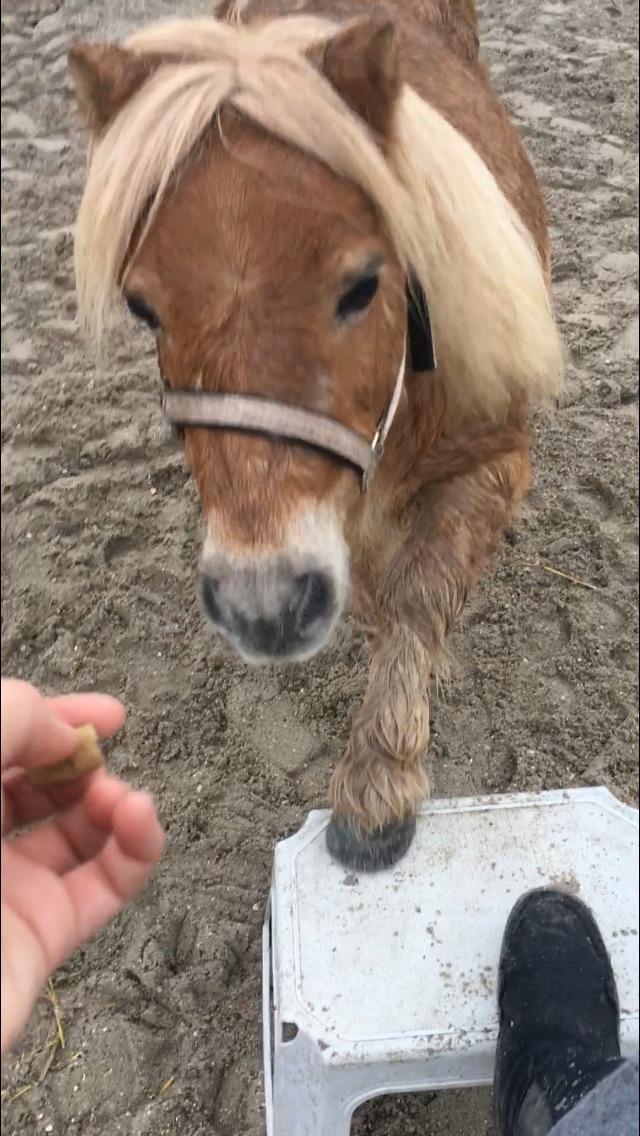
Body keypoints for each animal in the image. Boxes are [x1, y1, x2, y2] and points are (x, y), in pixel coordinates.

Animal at [67, 0, 563, 867]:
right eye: (142, 307)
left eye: (364, 285)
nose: (262, 608)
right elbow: (375, 592)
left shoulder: (495, 462)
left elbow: (420, 590)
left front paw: (380, 781)